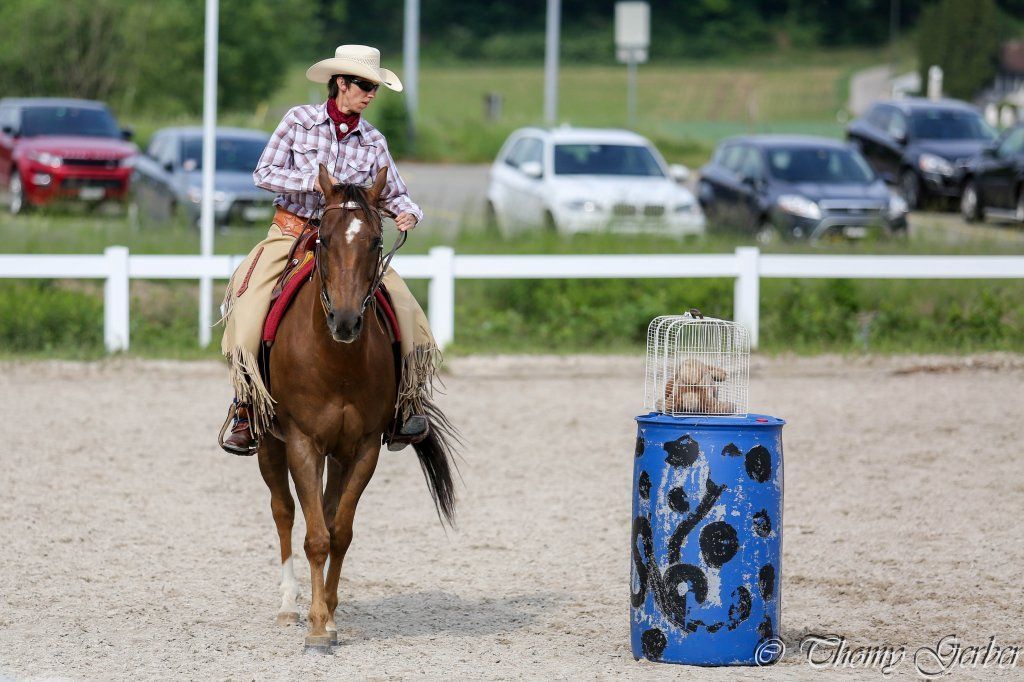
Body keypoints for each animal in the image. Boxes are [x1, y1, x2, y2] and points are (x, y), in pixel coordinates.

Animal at [256, 163, 458, 651]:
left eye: (376, 242)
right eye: (324, 240)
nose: (345, 321)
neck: (337, 361)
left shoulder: (363, 447)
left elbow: (340, 532)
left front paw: (328, 616)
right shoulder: (302, 443)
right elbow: (314, 536)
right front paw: (314, 626)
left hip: (339, 453)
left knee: (326, 513)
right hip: (270, 444)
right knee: (283, 511)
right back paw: (288, 604)